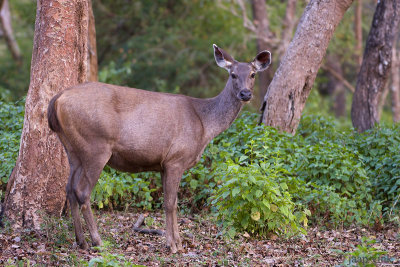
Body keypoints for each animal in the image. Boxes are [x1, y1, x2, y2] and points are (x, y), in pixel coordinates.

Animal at [47, 44, 272, 253]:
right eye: (233, 74)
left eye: (252, 74)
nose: (245, 93)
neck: (204, 124)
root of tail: (57, 99)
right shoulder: (176, 159)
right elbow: (171, 203)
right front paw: (174, 245)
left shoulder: (163, 164)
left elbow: (169, 202)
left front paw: (175, 242)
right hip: (96, 146)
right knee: (82, 191)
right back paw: (97, 241)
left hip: (72, 150)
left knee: (69, 189)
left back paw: (81, 241)